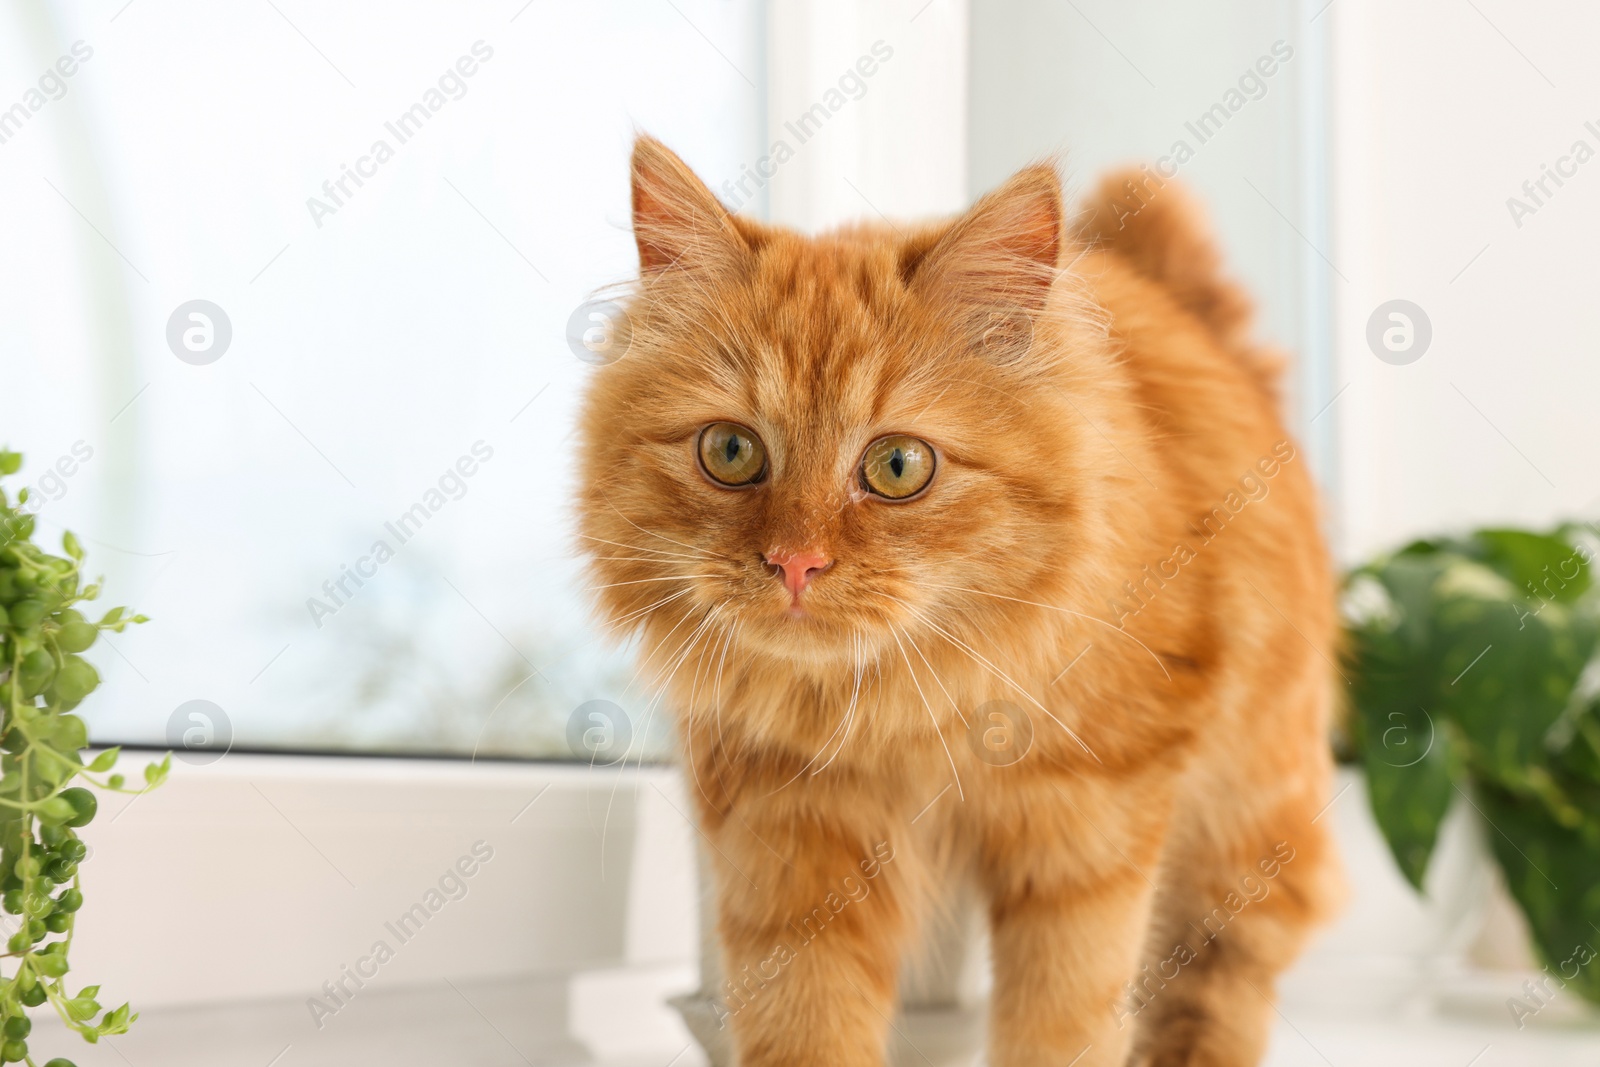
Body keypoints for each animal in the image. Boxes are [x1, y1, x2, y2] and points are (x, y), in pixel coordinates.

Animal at [576, 135, 1337, 1067]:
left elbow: (1061, 1023)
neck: (897, 711)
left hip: (1247, 818)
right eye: (730, 452)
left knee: (1220, 978)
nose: (795, 562)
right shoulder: (790, 839)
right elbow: (808, 1023)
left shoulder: (1088, 829)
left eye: (898, 466)